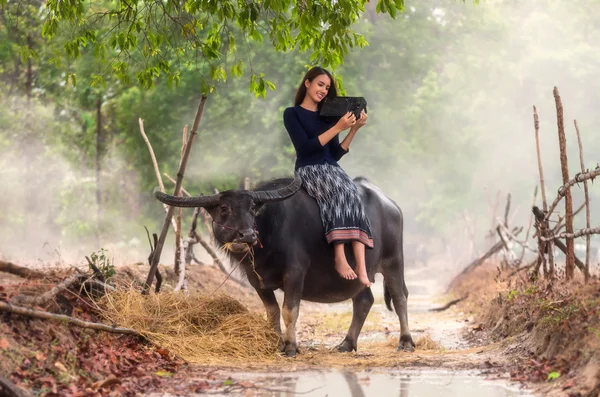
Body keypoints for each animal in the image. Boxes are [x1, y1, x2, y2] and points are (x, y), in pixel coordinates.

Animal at [155, 173, 414, 356]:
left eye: (252, 208)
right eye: (224, 208)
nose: (247, 235)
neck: (269, 235)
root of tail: (391, 204)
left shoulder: (295, 273)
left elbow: (290, 309)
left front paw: (290, 347)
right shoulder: (256, 279)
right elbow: (272, 311)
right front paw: (274, 341)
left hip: (393, 260)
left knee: (399, 295)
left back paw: (405, 342)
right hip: (362, 272)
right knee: (364, 300)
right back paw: (347, 344)